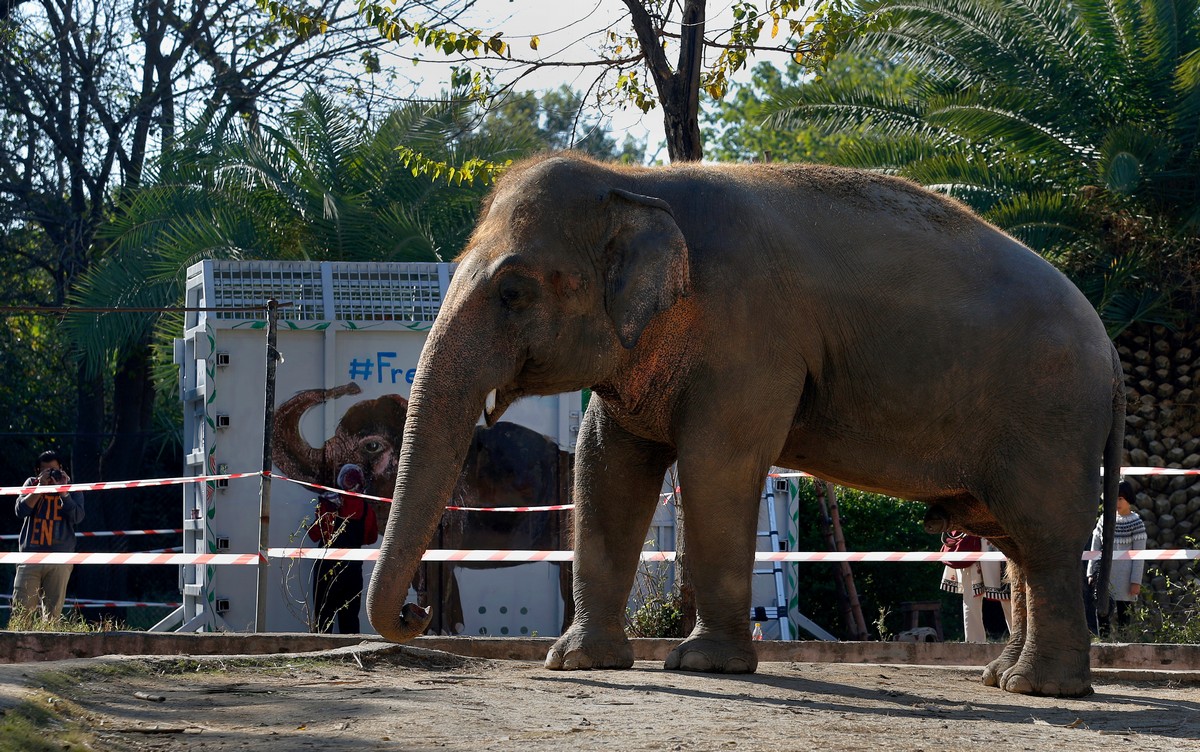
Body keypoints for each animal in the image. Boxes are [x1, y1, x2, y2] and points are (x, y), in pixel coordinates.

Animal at [364, 152, 1123, 700]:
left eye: (513, 292)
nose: (418, 616)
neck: (636, 182)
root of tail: (1110, 345)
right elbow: (607, 464)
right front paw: (577, 662)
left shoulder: (751, 336)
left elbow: (716, 465)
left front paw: (703, 666)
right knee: (1016, 543)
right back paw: (1002, 679)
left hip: (1051, 415)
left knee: (1043, 540)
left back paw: (1041, 689)